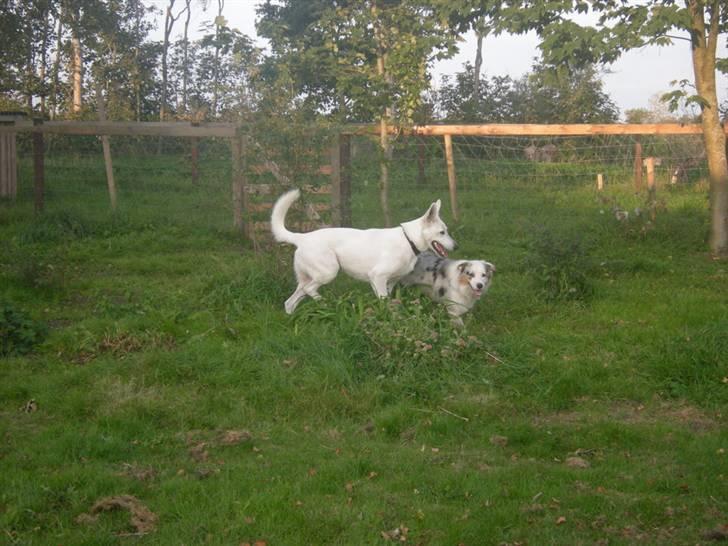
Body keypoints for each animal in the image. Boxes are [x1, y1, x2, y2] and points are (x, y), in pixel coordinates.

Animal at [272, 188, 456, 312]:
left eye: (446, 231)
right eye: (442, 232)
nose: (456, 246)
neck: (408, 239)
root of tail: (301, 237)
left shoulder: (389, 283)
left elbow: (387, 301)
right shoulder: (377, 277)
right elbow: (383, 302)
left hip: (307, 280)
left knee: (290, 301)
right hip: (328, 272)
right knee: (310, 290)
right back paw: (327, 303)